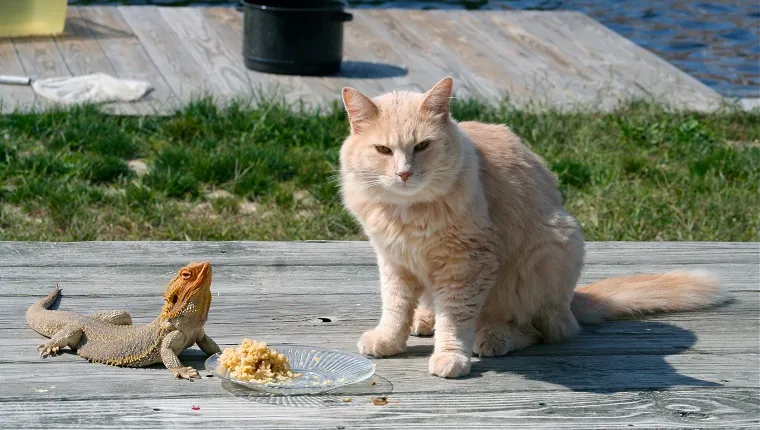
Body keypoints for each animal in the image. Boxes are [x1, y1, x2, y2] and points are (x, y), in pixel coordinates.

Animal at [338, 78, 732, 380]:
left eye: (422, 146)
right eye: (383, 150)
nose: (404, 173)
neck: (407, 213)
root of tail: (572, 301)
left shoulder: (467, 263)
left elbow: (456, 317)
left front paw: (451, 355)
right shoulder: (394, 261)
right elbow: (396, 307)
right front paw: (390, 339)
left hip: (548, 251)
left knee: (541, 331)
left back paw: (493, 337)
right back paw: (425, 319)